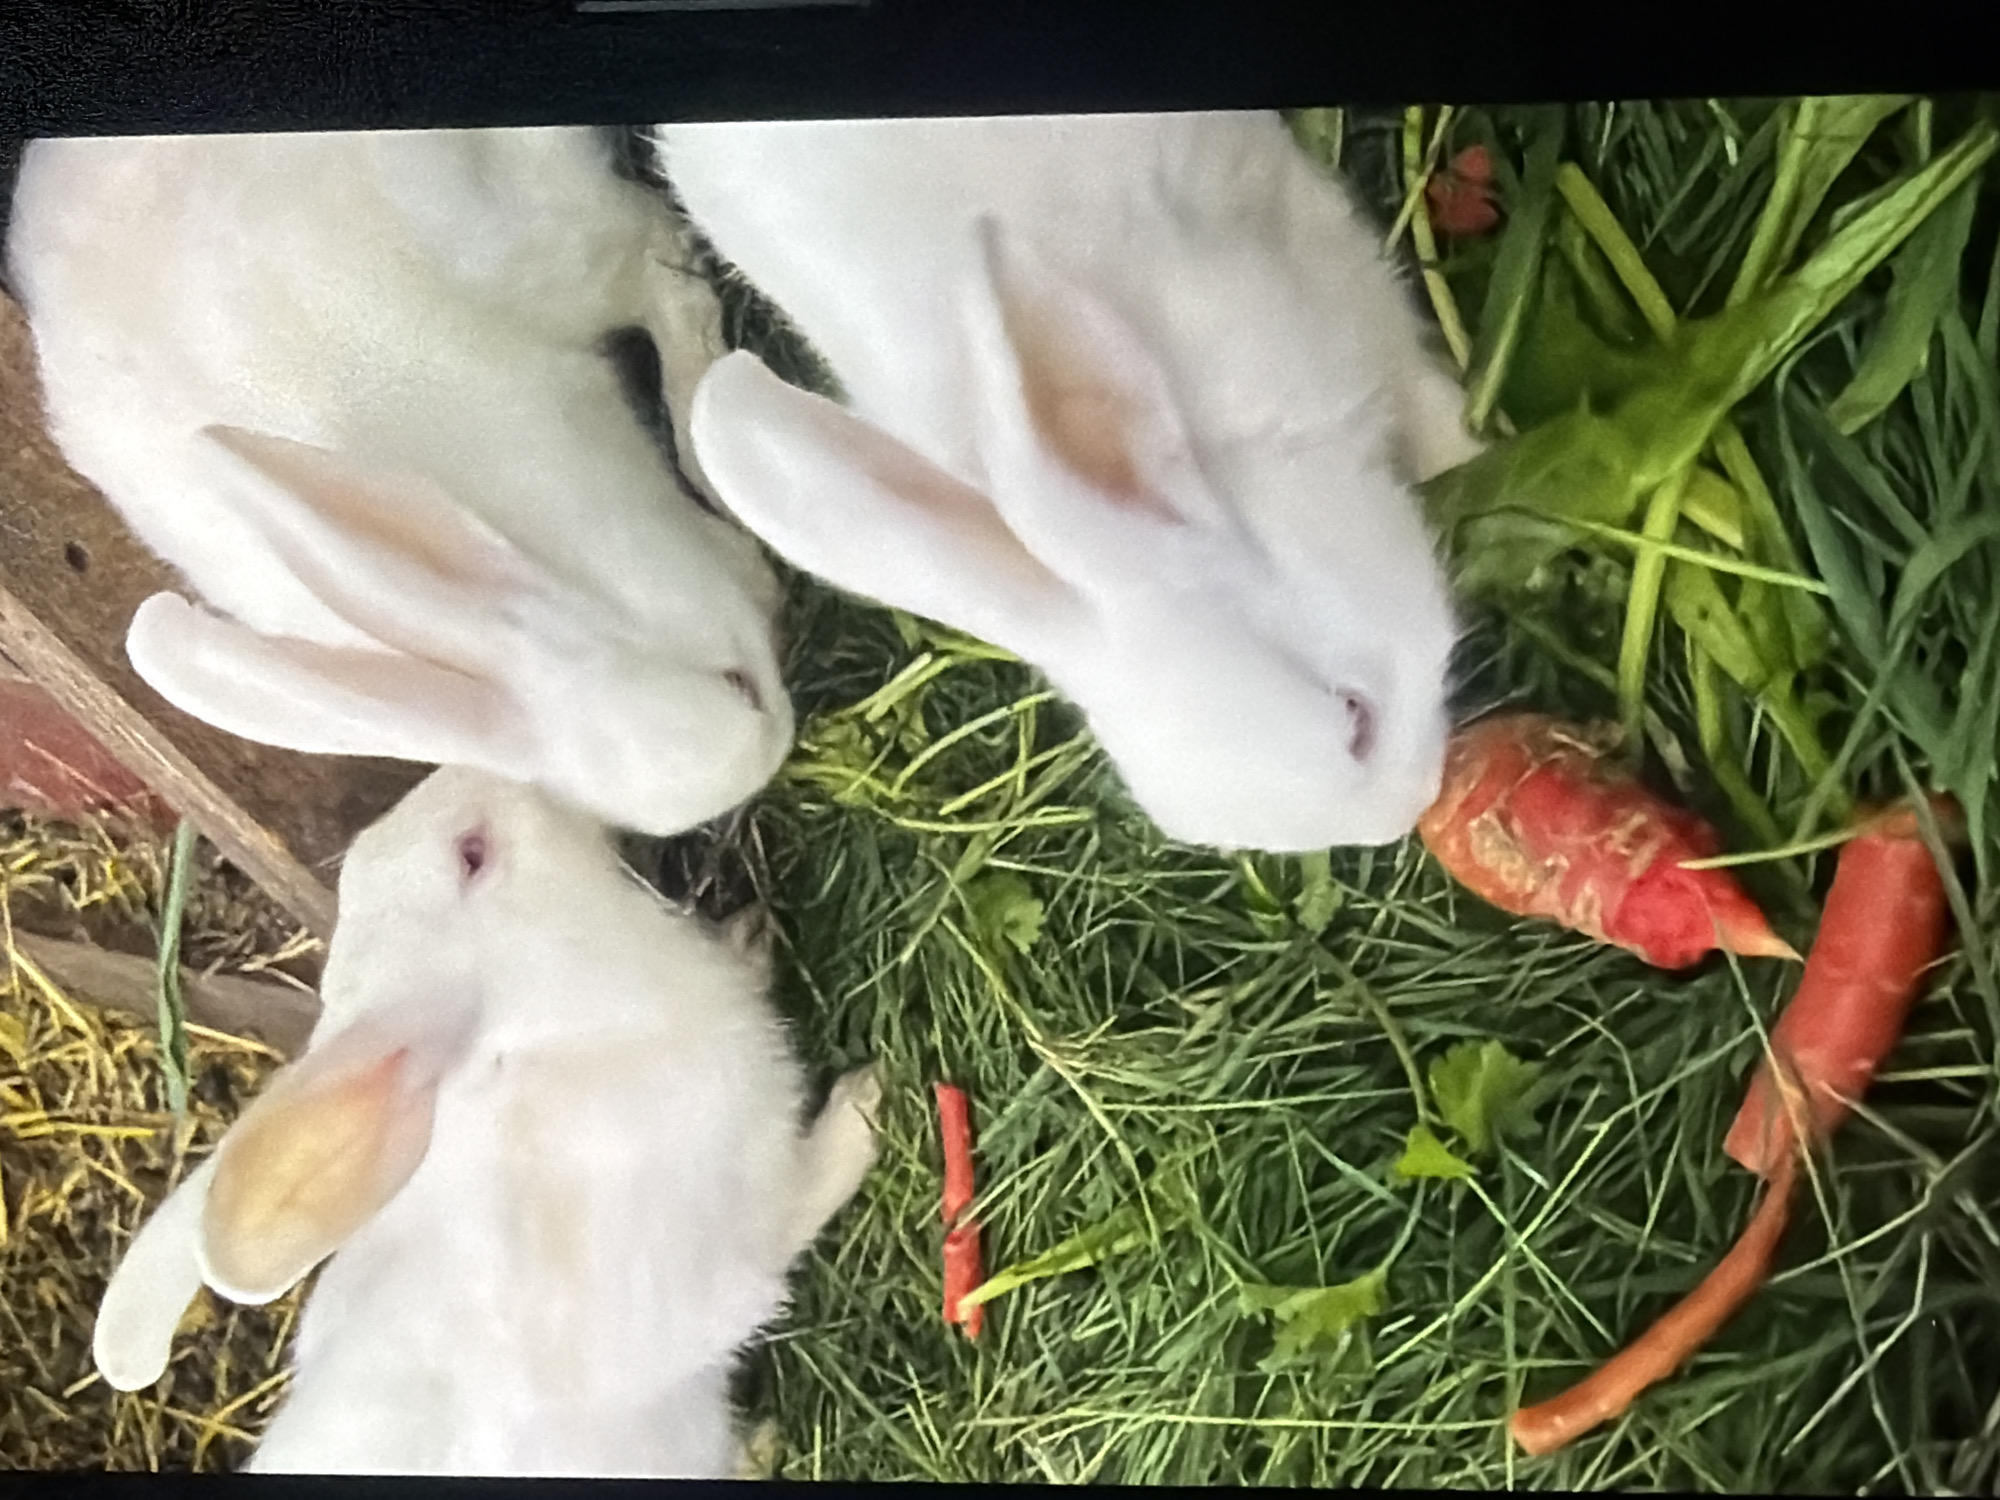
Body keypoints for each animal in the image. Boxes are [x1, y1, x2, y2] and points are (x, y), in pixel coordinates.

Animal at [91, 765, 882, 1477]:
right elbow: (814, 1190)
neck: (555, 1046)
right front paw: (867, 1097)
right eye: (473, 854)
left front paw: (750, 939)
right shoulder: (742, 1228)